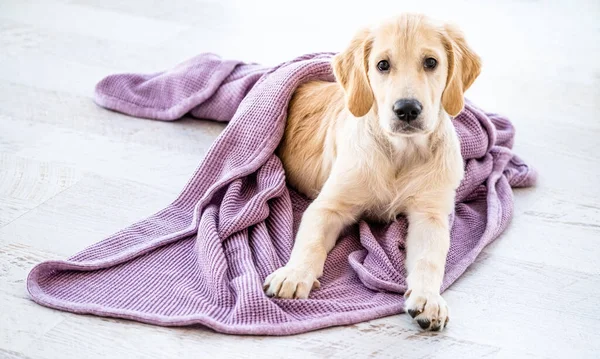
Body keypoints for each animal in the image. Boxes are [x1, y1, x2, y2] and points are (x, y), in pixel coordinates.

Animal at [264, 14, 480, 334]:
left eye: (431, 62)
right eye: (382, 65)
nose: (407, 109)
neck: (401, 153)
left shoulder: (430, 215)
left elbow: (429, 259)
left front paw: (428, 299)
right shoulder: (329, 205)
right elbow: (311, 241)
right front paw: (294, 273)